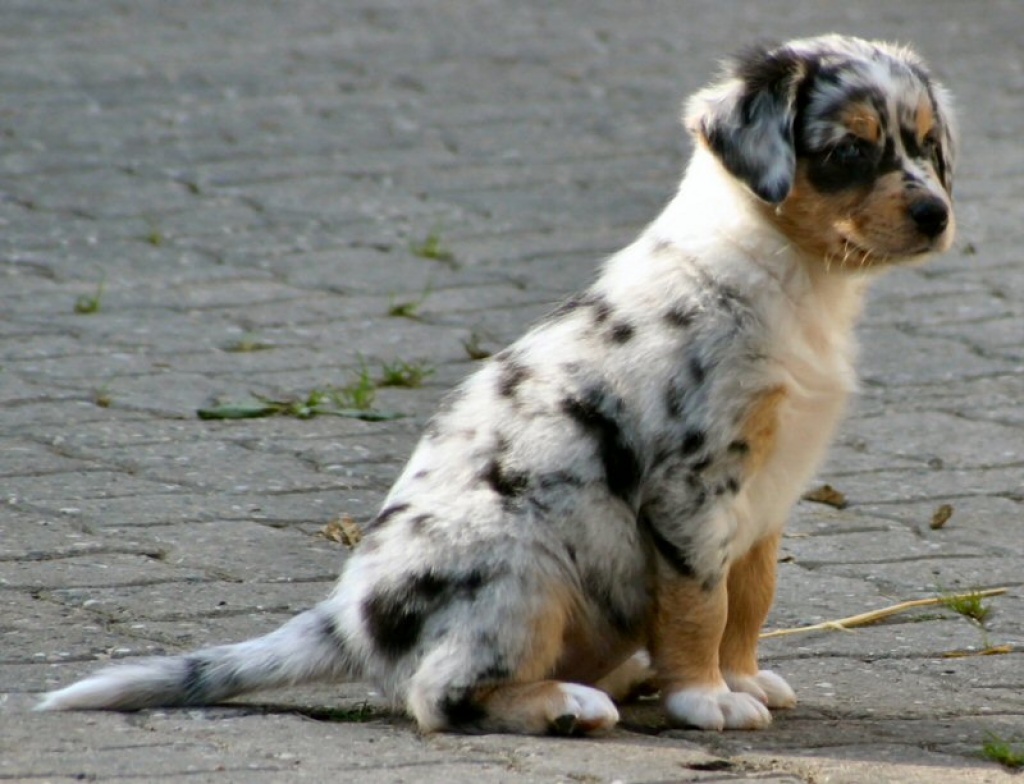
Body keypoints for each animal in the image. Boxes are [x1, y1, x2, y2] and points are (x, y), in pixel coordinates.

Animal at [36, 35, 954, 736]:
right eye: (849, 152)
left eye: (926, 145)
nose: (937, 215)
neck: (794, 278)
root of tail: (351, 617)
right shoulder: (694, 486)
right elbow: (701, 601)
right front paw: (705, 698)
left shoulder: (766, 493)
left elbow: (750, 597)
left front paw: (743, 679)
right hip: (521, 564)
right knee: (439, 695)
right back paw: (570, 703)